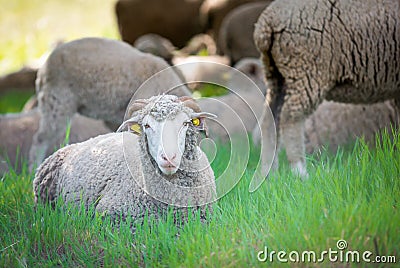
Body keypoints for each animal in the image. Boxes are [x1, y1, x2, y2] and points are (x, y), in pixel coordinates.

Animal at [255, 0, 398, 177]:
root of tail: (266, 23)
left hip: (276, 75)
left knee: (269, 120)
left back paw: (268, 174)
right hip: (306, 70)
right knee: (291, 117)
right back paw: (299, 172)